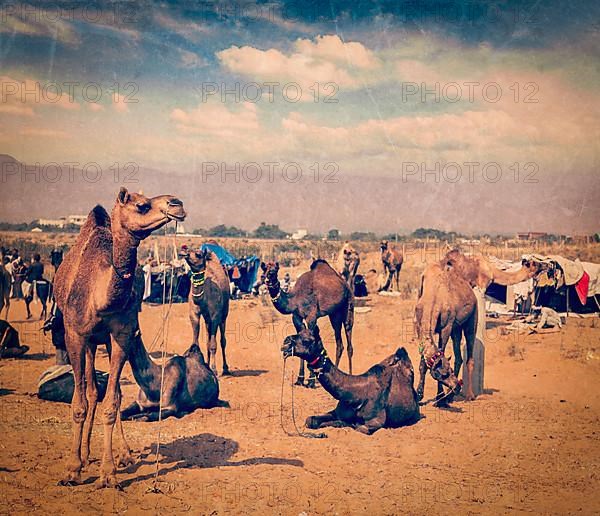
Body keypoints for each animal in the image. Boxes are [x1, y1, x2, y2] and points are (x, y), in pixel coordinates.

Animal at [53, 188, 185, 488]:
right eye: (142, 205)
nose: (177, 204)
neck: (100, 296)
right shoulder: (74, 335)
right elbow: (79, 402)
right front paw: (72, 469)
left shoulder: (122, 335)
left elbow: (113, 401)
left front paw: (109, 473)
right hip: (89, 341)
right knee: (90, 390)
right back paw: (84, 454)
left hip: (103, 340)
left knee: (108, 392)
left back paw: (122, 454)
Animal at [262, 260, 354, 390]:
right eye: (264, 269)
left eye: (274, 271)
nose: (266, 279)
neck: (295, 299)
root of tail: (344, 283)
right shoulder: (296, 317)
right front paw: (300, 380)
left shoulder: (311, 317)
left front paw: (310, 381)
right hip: (334, 313)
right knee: (339, 343)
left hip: (348, 305)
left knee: (348, 337)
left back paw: (348, 375)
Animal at [280, 328, 418, 434]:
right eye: (298, 333)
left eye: (307, 341)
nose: (285, 342)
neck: (356, 394)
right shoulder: (337, 412)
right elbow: (310, 420)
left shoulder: (375, 422)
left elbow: (358, 426)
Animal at [414, 264, 476, 406]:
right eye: (442, 374)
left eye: (449, 371)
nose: (457, 387)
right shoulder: (419, 326)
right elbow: (423, 364)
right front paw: (419, 396)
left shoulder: (446, 327)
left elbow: (441, 349)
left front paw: (439, 398)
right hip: (456, 329)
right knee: (459, 357)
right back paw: (449, 397)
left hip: (472, 320)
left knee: (470, 353)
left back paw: (469, 395)